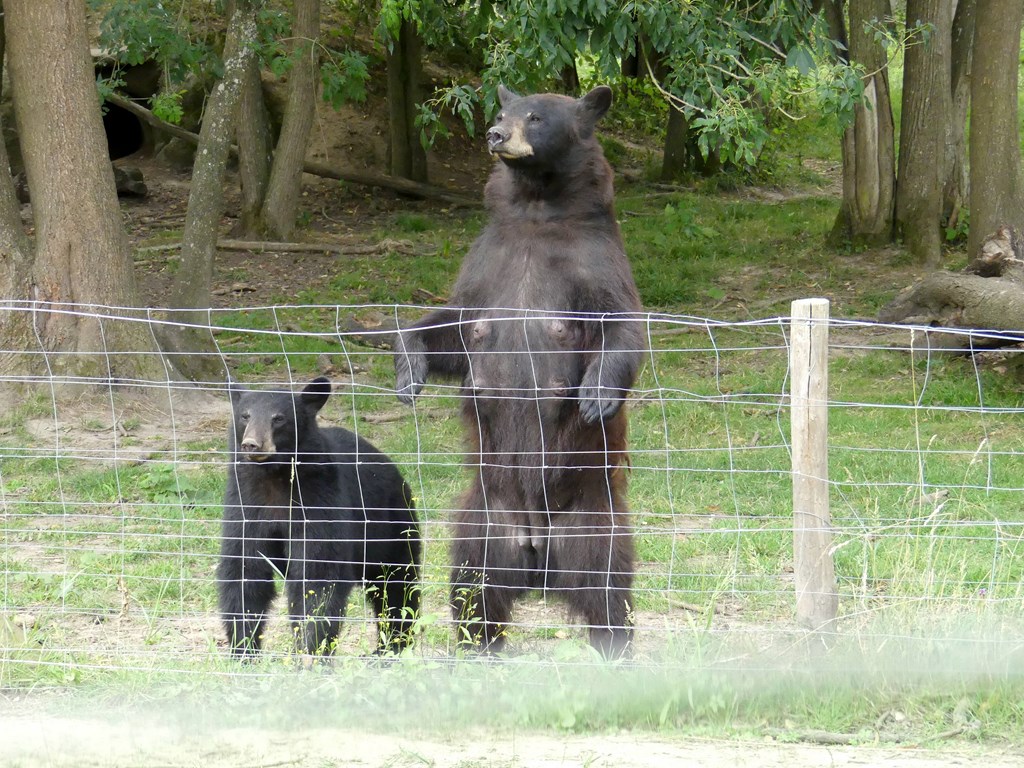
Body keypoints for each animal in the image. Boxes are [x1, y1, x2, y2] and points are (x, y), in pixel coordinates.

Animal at [217, 376, 421, 658]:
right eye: (245, 415)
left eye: (279, 418)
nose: (252, 444)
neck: (276, 477)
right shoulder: (246, 503)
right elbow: (245, 571)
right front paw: (244, 649)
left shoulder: (320, 499)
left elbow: (318, 575)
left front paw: (312, 648)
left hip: (391, 524)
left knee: (396, 582)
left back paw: (392, 646)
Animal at [394, 85, 644, 658]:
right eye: (501, 110)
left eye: (535, 115)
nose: (494, 134)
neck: (536, 209)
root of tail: (538, 554)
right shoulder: (489, 263)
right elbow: (456, 328)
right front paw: (408, 367)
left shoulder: (593, 260)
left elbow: (621, 324)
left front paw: (596, 394)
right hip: (486, 517)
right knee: (472, 585)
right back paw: (476, 644)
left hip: (590, 516)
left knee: (606, 582)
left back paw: (615, 644)